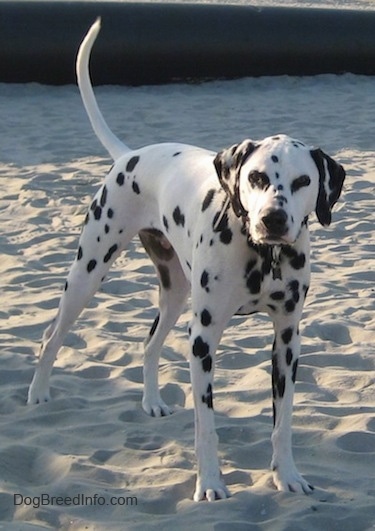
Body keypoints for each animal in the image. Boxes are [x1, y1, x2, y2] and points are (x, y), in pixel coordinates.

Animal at [27, 19, 346, 502]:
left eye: (303, 180)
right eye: (256, 177)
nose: (273, 219)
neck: (262, 253)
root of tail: (129, 154)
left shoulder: (287, 341)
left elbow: (284, 421)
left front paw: (287, 475)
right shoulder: (203, 341)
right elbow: (206, 426)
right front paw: (211, 483)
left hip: (176, 295)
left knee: (149, 345)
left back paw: (152, 402)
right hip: (87, 274)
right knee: (51, 336)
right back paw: (39, 395)